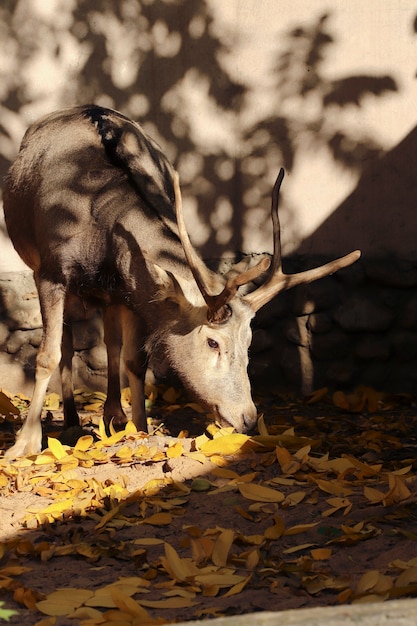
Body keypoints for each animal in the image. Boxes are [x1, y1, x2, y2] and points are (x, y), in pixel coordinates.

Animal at [2, 105, 360, 458]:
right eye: (213, 342)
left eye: (249, 341)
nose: (247, 417)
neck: (99, 232)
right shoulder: (50, 271)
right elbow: (47, 355)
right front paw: (24, 443)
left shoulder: (131, 290)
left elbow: (135, 359)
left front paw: (140, 429)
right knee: (66, 341)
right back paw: (72, 421)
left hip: (110, 296)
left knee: (110, 343)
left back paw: (113, 416)